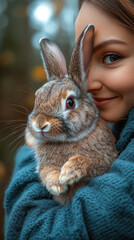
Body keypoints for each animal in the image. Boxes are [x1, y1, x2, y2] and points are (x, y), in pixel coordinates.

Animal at [25, 23, 117, 204]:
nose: (40, 124)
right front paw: (57, 184)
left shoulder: (107, 159)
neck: (65, 141)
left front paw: (69, 173)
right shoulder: (44, 165)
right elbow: (46, 171)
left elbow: (89, 161)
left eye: (70, 103)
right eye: (37, 97)